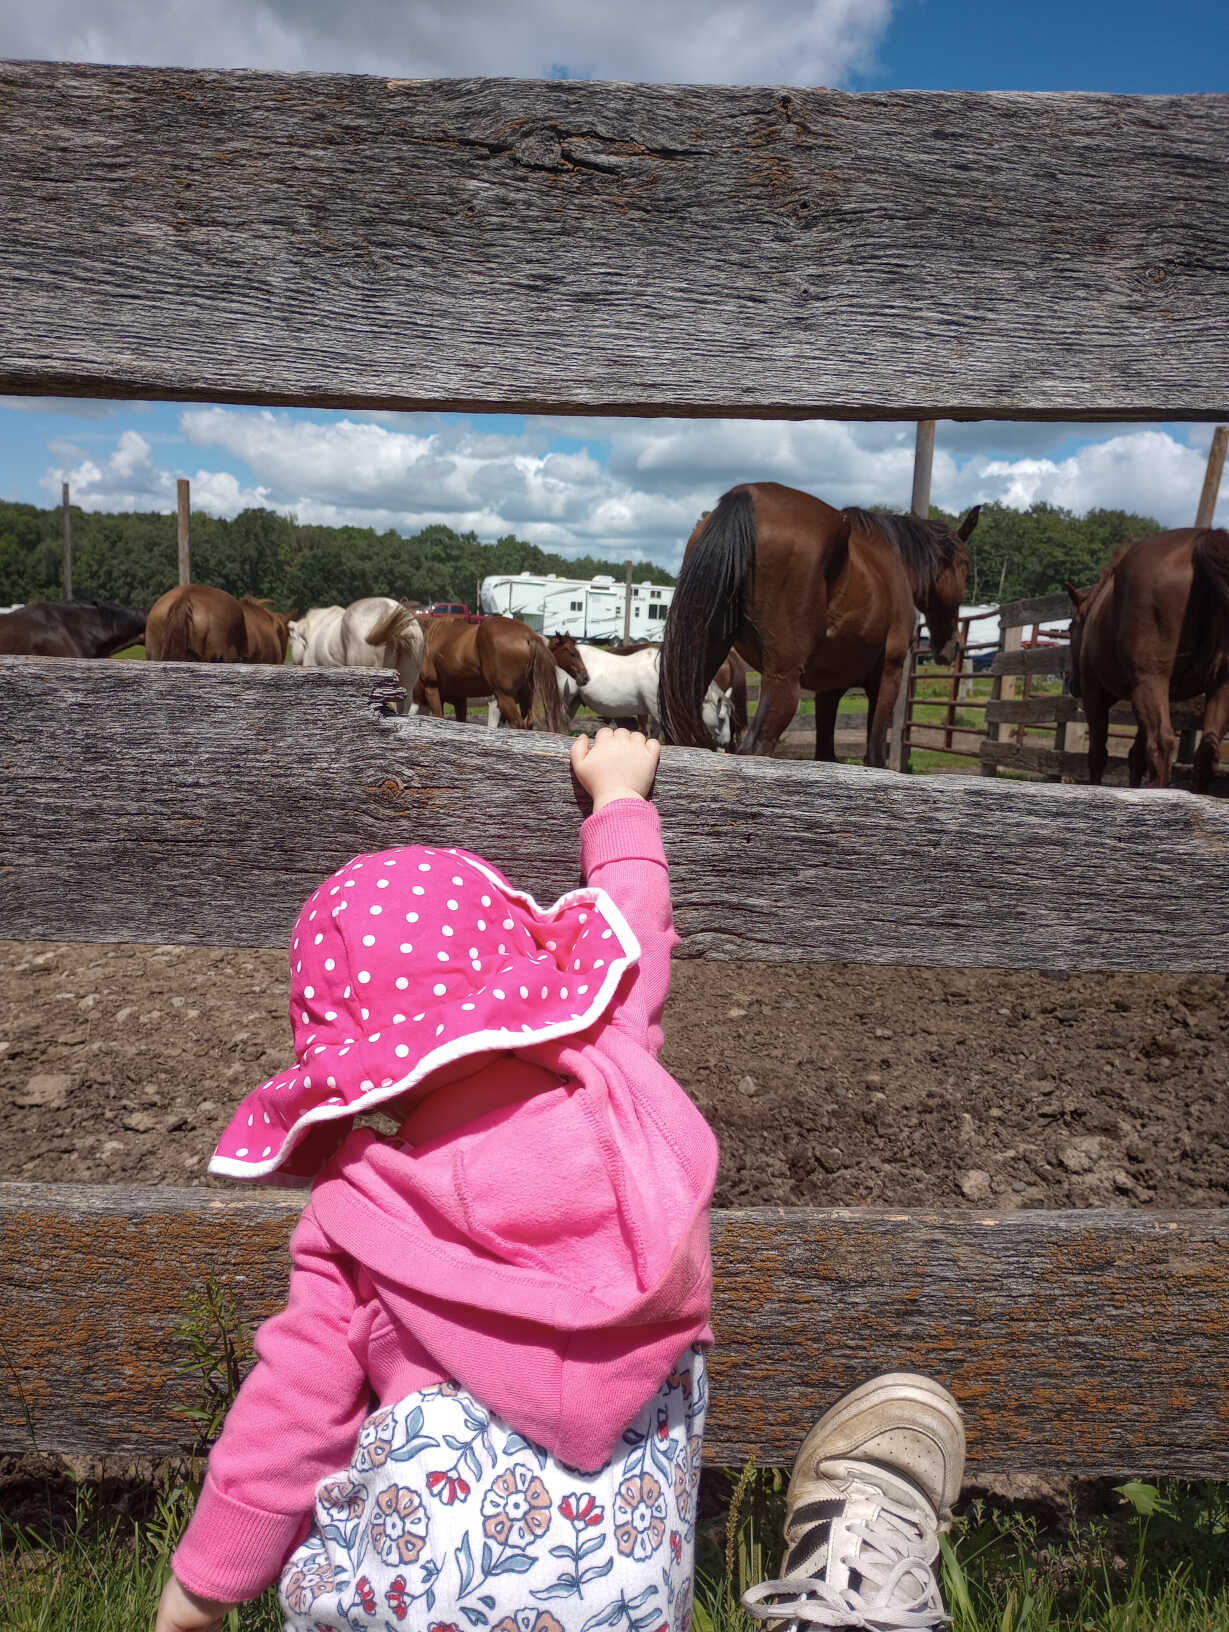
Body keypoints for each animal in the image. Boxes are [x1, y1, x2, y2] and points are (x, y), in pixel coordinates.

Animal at [415, 616, 575, 731]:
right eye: (571, 652)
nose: (581, 675)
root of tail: (528, 636)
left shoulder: (432, 690)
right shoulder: (459, 699)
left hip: (504, 696)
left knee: (517, 724)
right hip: (525, 696)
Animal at [658, 482, 978, 764]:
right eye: (966, 568)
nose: (951, 646)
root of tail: (745, 495)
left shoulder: (828, 690)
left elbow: (825, 754)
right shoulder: (888, 677)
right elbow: (874, 756)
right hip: (783, 682)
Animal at [1065, 528, 1229, 794]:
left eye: (1070, 628)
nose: (1071, 680)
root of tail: (1202, 537)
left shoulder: (1095, 694)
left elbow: (1098, 754)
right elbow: (1136, 756)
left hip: (1150, 681)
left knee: (1162, 743)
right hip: (1221, 686)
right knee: (1207, 750)